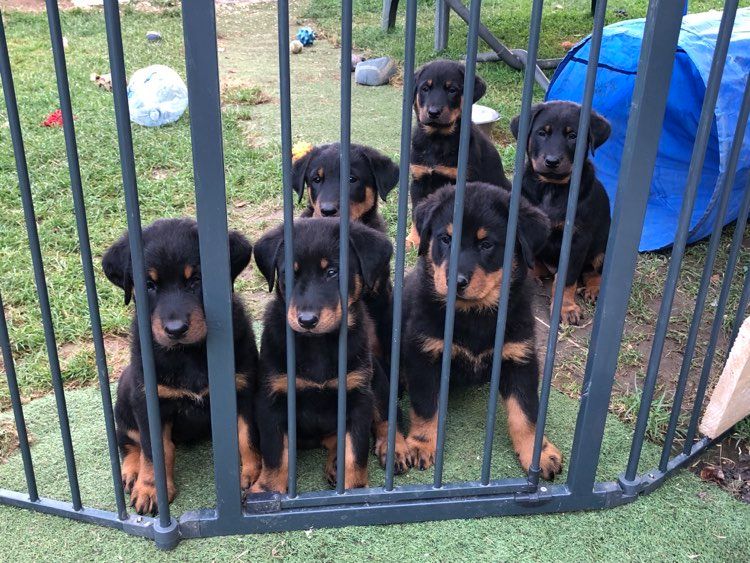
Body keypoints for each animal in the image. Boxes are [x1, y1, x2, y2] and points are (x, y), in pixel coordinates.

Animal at [103, 219, 262, 516]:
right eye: (149, 285)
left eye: (196, 280)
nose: (175, 329)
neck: (188, 353)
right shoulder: (149, 401)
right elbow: (154, 450)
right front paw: (150, 489)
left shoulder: (243, 388)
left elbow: (246, 435)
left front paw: (253, 473)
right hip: (126, 391)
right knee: (128, 440)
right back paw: (131, 472)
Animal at [251, 218, 406, 492]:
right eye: (289, 273)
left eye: (332, 272)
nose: (306, 320)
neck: (318, 344)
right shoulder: (272, 398)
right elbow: (275, 453)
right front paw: (268, 490)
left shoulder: (358, 396)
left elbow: (356, 452)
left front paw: (354, 488)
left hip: (377, 380)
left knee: (388, 418)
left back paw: (395, 450)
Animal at [402, 184, 560, 480]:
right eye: (445, 239)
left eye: (486, 244)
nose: (455, 281)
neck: (474, 314)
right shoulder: (424, 354)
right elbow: (426, 406)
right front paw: (421, 444)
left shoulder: (519, 357)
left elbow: (525, 413)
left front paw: (539, 453)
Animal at [408, 59, 516, 247]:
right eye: (425, 88)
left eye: (452, 90)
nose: (433, 112)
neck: (437, 139)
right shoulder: (418, 180)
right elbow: (416, 211)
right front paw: (413, 240)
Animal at [516, 101, 612, 326]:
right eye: (542, 133)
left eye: (573, 136)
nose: (552, 161)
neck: (551, 188)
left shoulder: (577, 240)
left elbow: (566, 279)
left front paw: (565, 308)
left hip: (603, 244)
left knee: (593, 269)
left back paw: (594, 288)